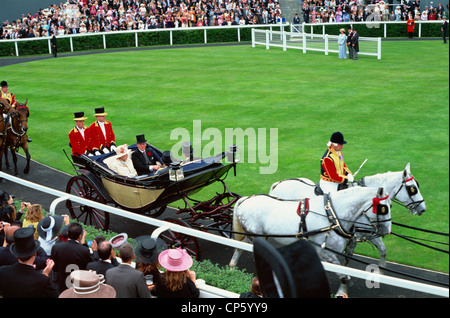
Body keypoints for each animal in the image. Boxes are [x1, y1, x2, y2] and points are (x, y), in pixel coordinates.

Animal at [230, 186, 392, 296]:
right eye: (383, 208)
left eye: (391, 206)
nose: (387, 230)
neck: (331, 215)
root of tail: (245, 199)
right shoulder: (324, 251)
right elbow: (344, 276)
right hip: (256, 235)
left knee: (239, 248)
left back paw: (232, 269)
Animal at [268, 161, 428, 268]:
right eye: (412, 188)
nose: (423, 209)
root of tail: (277, 184)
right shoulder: (359, 235)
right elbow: (348, 256)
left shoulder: (366, 234)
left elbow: (381, 252)